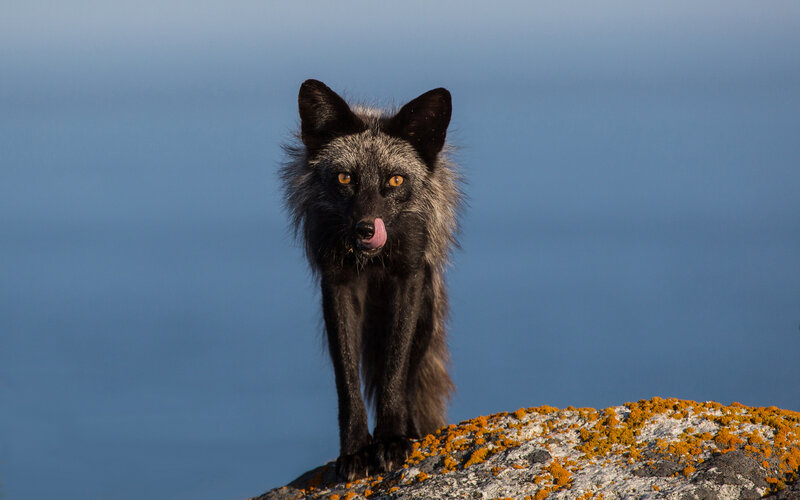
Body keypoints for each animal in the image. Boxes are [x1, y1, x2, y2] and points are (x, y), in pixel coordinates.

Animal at [281, 79, 462, 480]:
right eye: (345, 178)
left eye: (394, 180)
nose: (365, 229)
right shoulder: (337, 285)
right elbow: (347, 381)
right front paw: (354, 451)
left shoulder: (407, 278)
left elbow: (395, 370)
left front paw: (392, 440)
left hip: (426, 311)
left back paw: (410, 430)